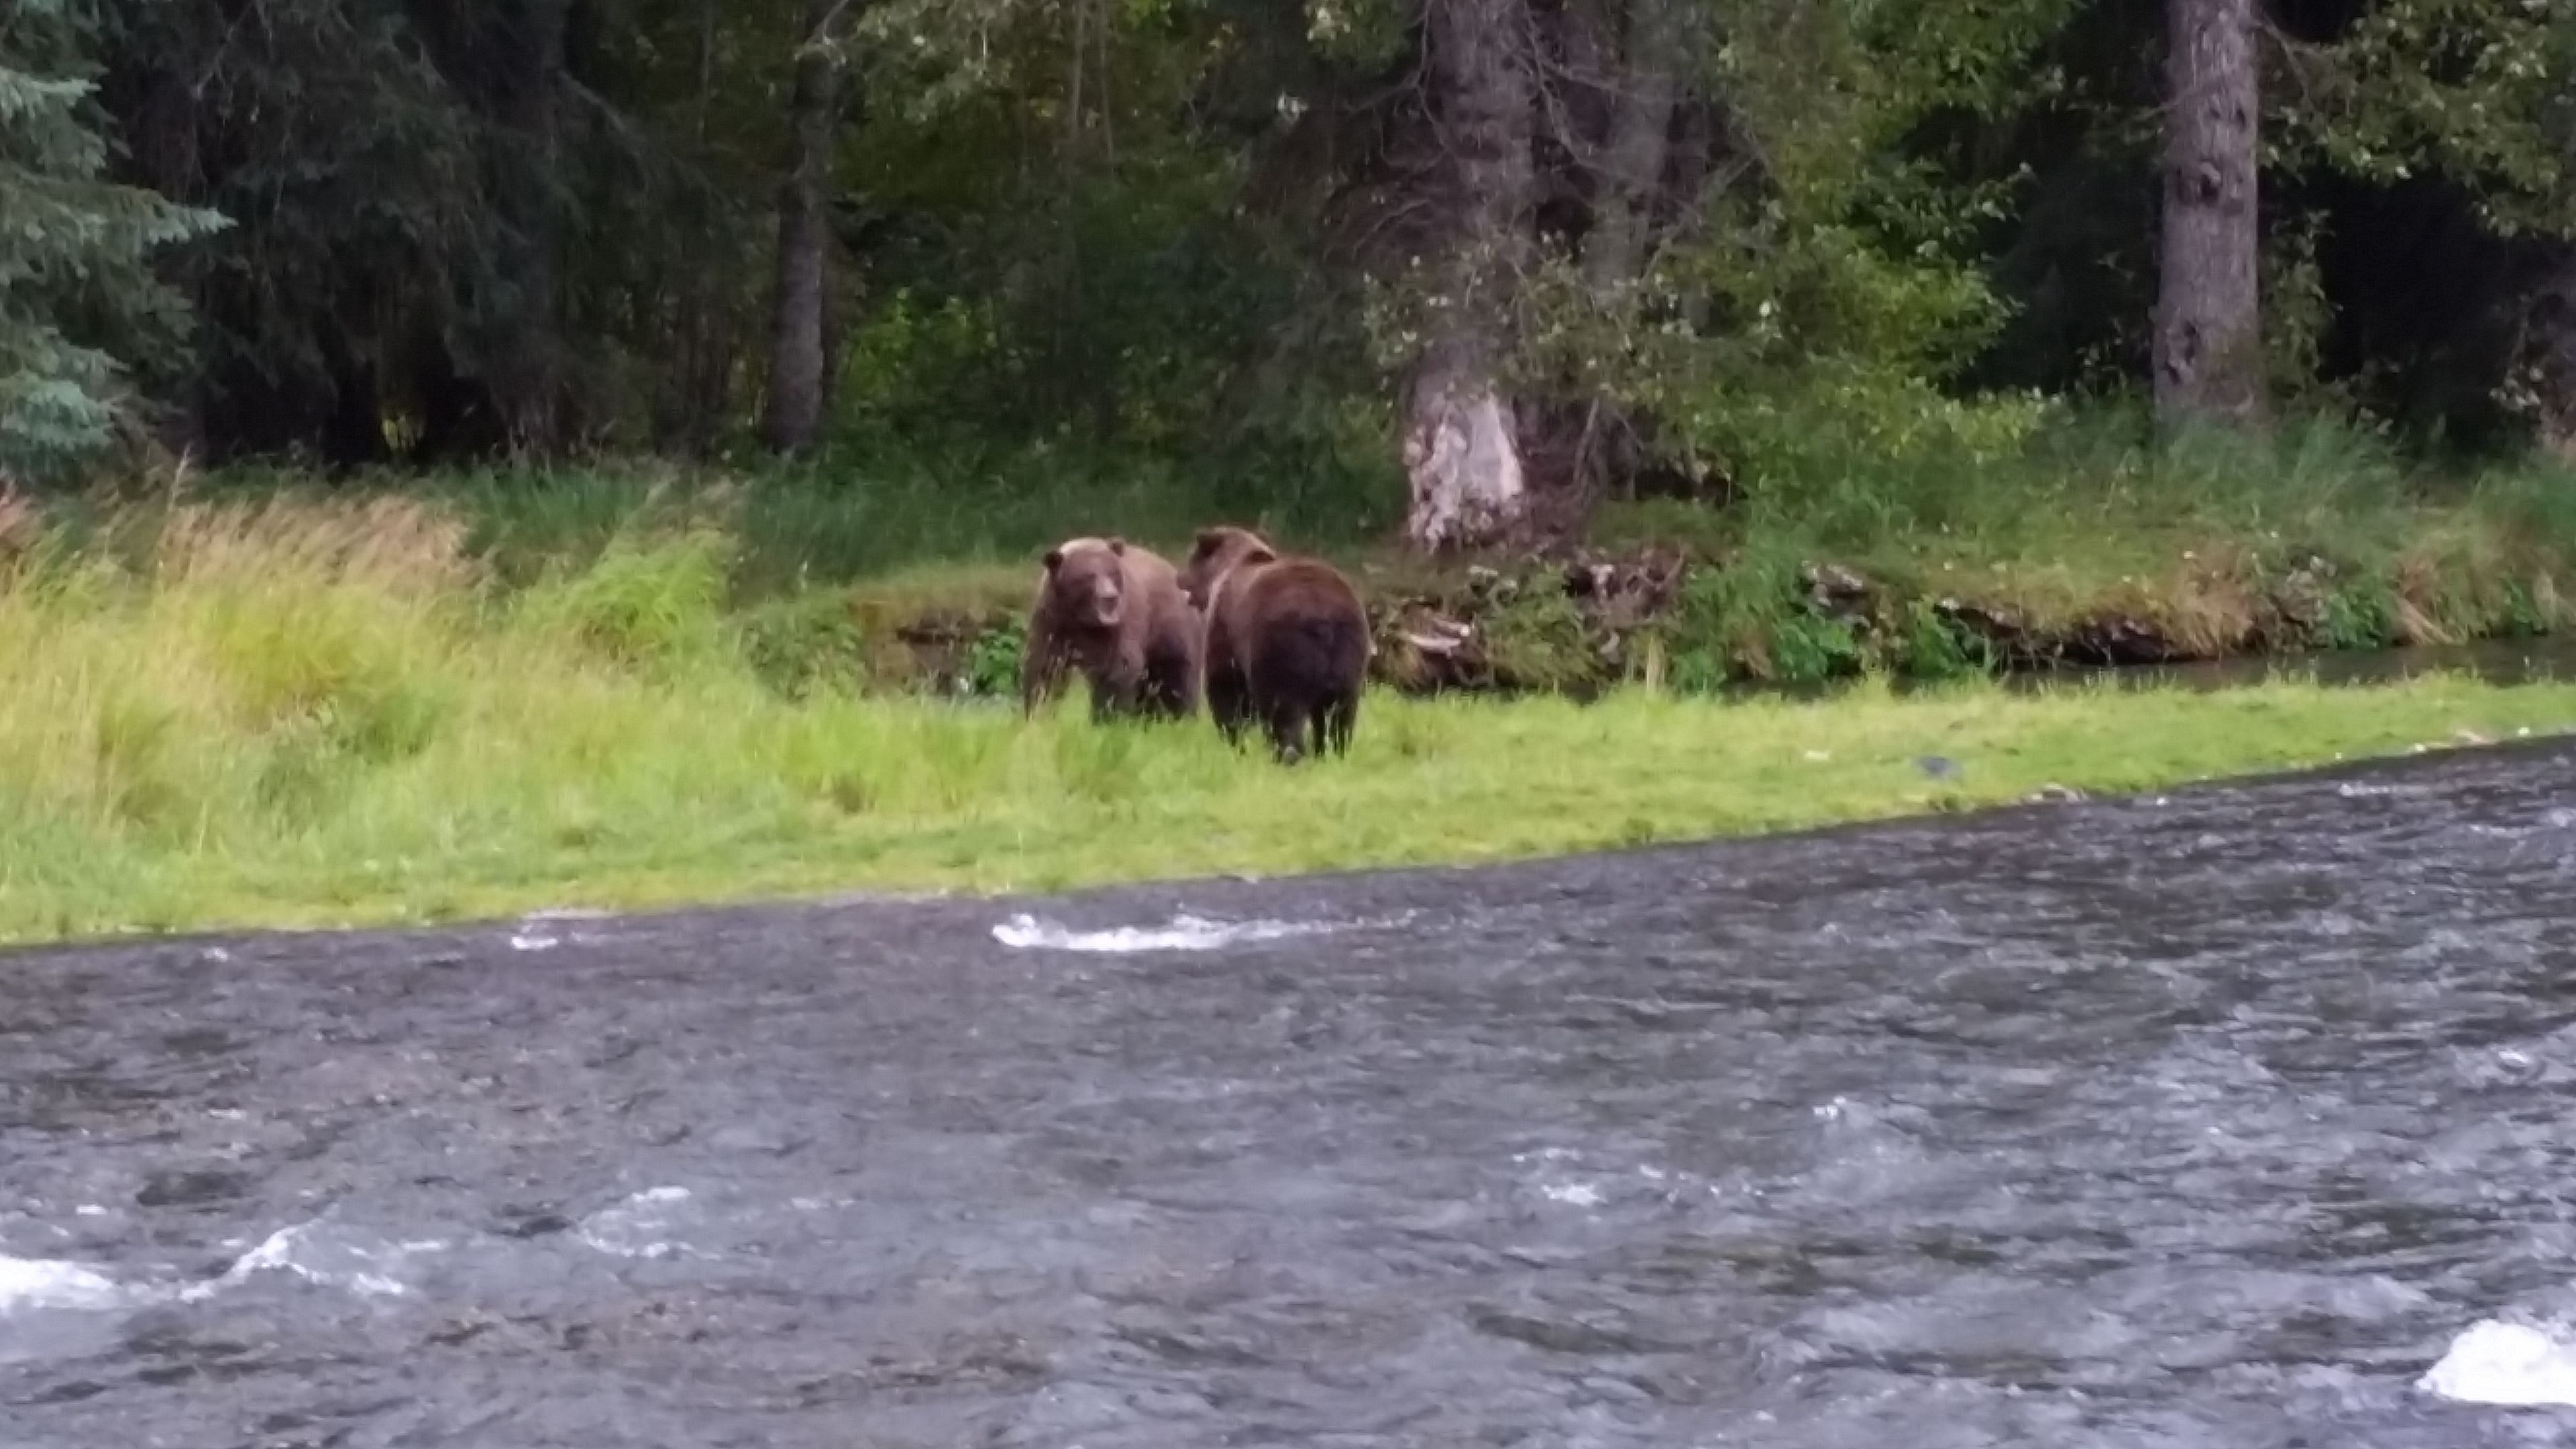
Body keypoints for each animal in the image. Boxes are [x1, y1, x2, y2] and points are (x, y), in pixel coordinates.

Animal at [1021, 536, 1203, 721]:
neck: (1081, 617)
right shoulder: (1053, 620)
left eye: (1112, 572)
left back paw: (1179, 717)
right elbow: (1045, 668)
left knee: (1178, 680)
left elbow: (1118, 669)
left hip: (1174, 632)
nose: (1110, 597)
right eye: (1089, 576)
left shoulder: (1119, 624)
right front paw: (1038, 711)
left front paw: (1106, 715)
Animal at [1177, 525, 1371, 763]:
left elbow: (1226, 686)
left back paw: (1287, 754)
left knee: (1283, 712)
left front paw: (1233, 739)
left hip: (1281, 648)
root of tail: (1325, 617)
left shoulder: (1226, 627)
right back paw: (1334, 753)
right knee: (1341, 714)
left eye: (1190, 557)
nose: (1178, 577)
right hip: (1350, 654)